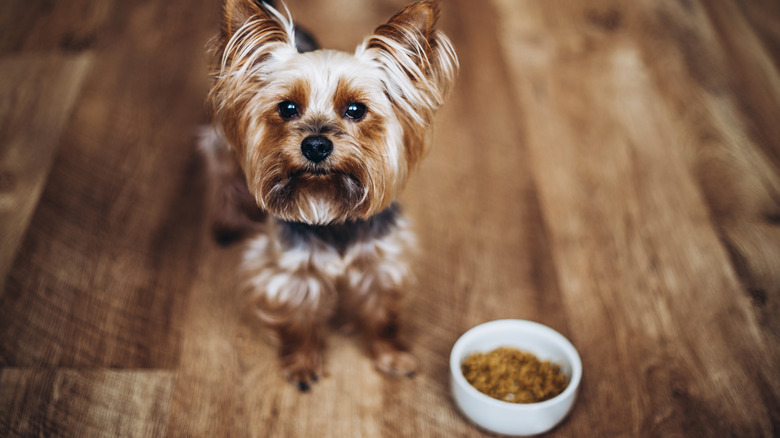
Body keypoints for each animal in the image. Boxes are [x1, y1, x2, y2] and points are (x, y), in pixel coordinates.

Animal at [201, 0, 458, 390]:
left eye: (356, 109)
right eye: (287, 108)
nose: (316, 145)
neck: (328, 201)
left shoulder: (381, 261)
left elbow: (382, 313)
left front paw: (392, 356)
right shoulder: (291, 271)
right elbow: (299, 319)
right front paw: (303, 363)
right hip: (223, 147)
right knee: (221, 170)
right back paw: (227, 221)